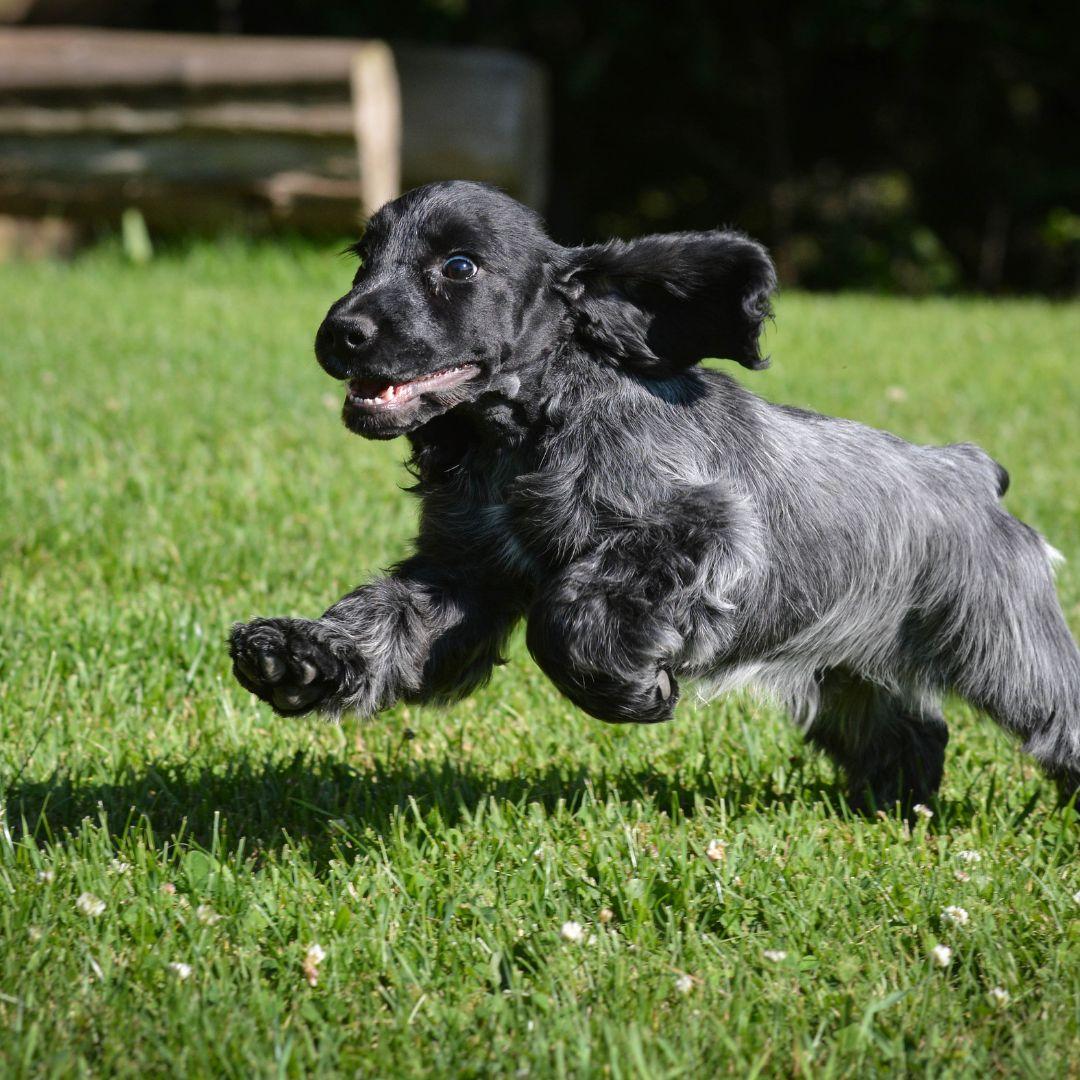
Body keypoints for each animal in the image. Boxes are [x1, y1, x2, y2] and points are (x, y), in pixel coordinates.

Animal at [230, 181, 1080, 812]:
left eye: (459, 267)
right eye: (362, 258)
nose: (339, 333)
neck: (523, 435)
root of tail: (972, 471)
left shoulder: (695, 529)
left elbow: (566, 614)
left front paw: (631, 692)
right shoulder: (463, 576)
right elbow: (383, 623)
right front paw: (299, 655)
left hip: (1006, 649)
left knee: (1055, 717)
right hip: (844, 671)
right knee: (913, 736)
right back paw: (899, 811)